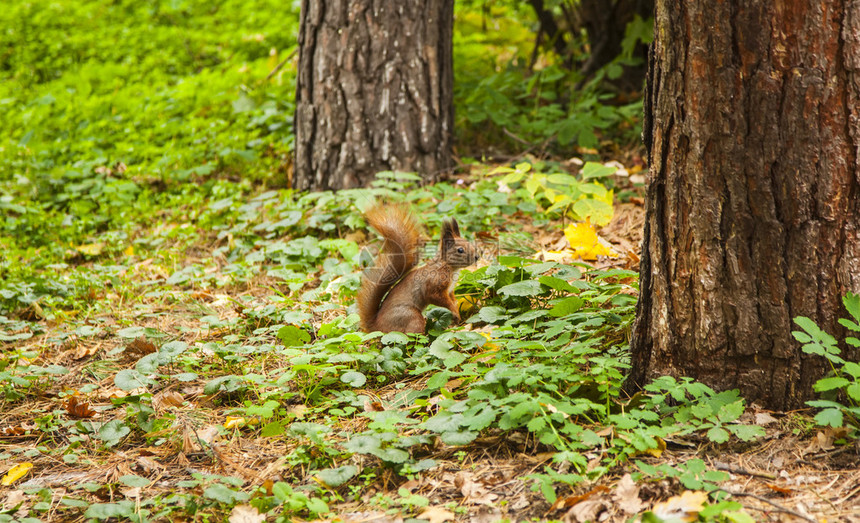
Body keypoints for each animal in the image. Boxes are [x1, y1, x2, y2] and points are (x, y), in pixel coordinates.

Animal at [354, 206, 480, 336]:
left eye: (469, 243)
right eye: (460, 250)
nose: (477, 256)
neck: (447, 266)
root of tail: (376, 327)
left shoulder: (450, 291)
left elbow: (453, 300)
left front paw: (457, 312)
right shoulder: (434, 285)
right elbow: (438, 298)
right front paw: (454, 312)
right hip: (410, 316)